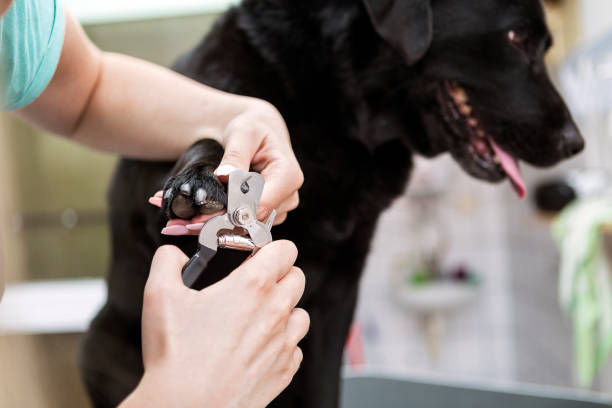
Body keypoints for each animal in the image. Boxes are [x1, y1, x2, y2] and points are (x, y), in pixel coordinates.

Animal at [80, 1, 584, 406]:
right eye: (516, 37)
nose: (574, 143)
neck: (334, 105)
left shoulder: (340, 291)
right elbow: (214, 136)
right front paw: (198, 180)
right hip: (98, 343)